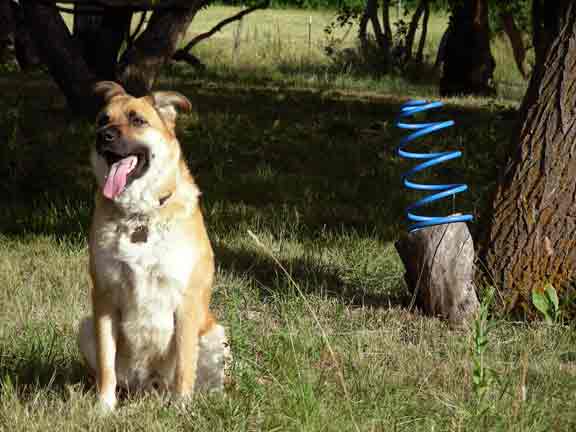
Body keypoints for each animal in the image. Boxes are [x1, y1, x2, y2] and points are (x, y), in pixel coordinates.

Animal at [77, 82, 230, 412]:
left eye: (138, 120)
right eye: (102, 119)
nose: (103, 136)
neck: (140, 216)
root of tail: (150, 387)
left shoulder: (185, 301)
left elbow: (184, 364)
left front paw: (182, 408)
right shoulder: (104, 298)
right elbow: (107, 365)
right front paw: (104, 407)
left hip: (215, 336)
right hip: (85, 328)